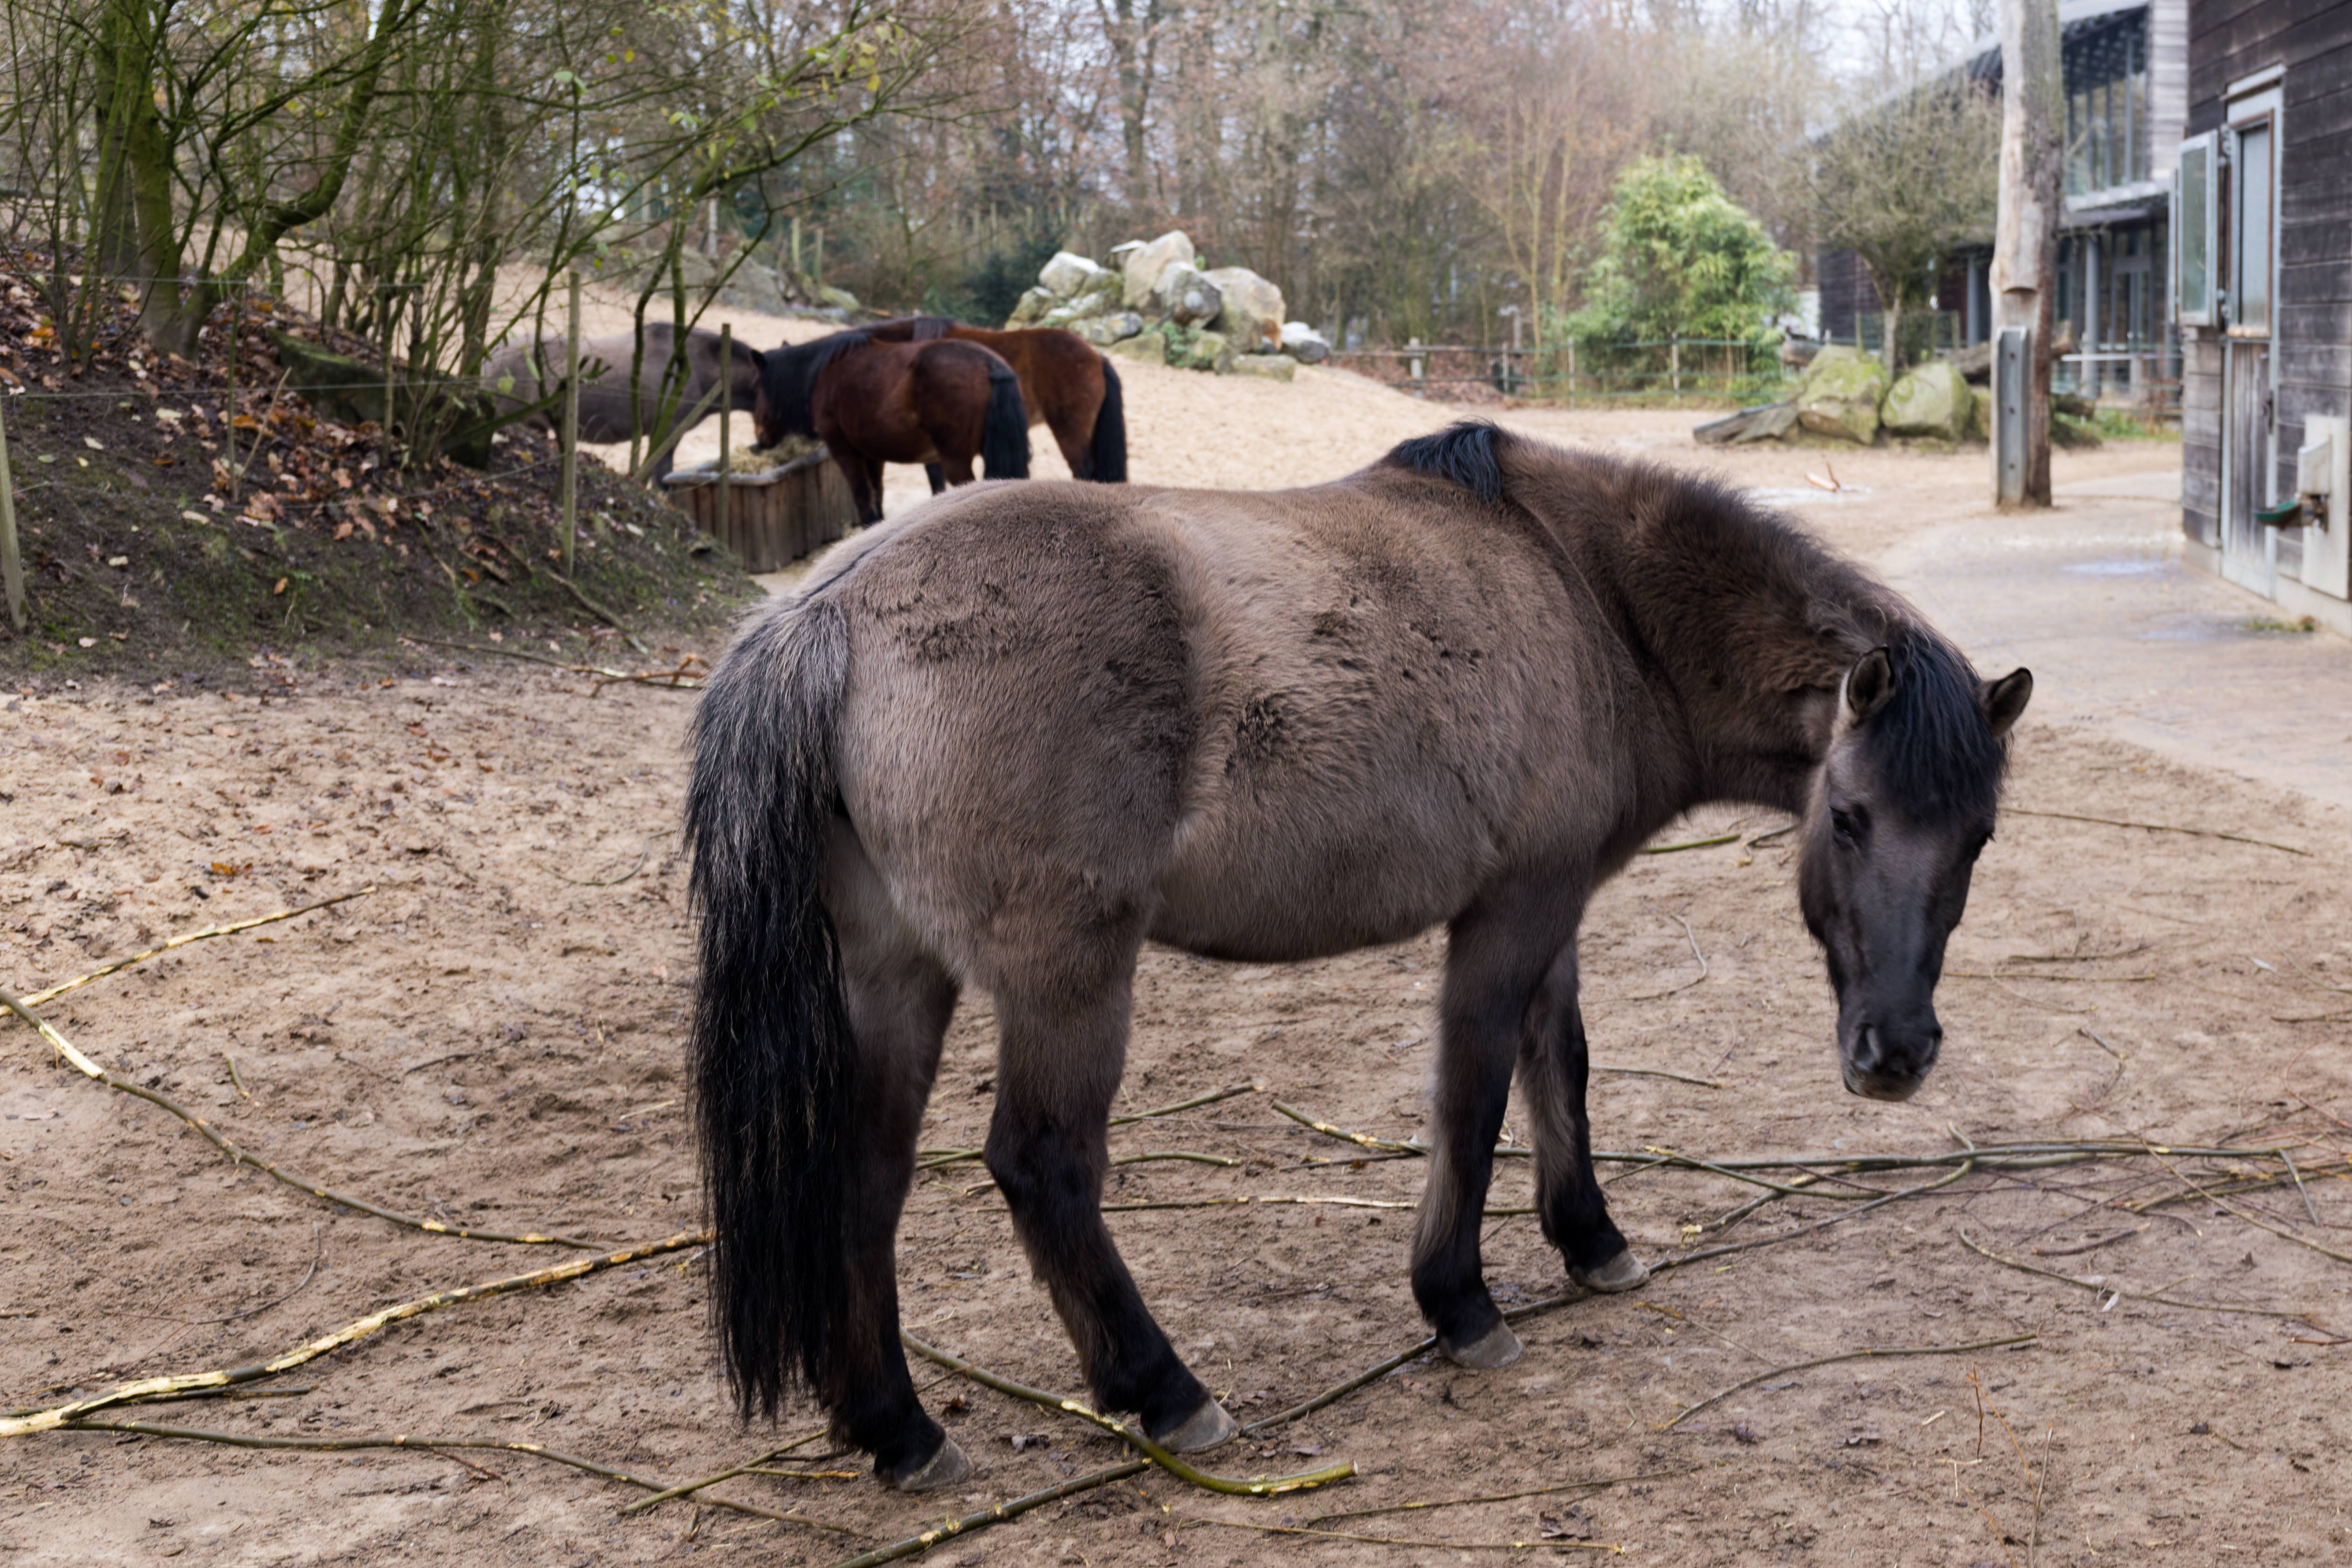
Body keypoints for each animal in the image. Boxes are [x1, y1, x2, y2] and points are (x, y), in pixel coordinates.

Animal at [684, 421, 2033, 1490]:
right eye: (1847, 814)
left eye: (1976, 832)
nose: (1896, 1054)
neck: (1587, 590)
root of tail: (827, 609)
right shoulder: (1508, 913)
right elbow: (1473, 1098)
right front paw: (1459, 1301)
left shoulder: (1548, 906)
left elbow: (1560, 1071)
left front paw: (1590, 1240)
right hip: (1068, 982)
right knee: (1042, 1163)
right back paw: (1163, 1389)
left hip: (896, 976)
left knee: (864, 1178)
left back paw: (898, 1428)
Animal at [753, 332, 1030, 527]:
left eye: (756, 386)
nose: (760, 439)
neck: (828, 369)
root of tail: (990, 365)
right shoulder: (872, 455)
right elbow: (878, 494)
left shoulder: (844, 450)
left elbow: (863, 496)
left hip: (956, 461)